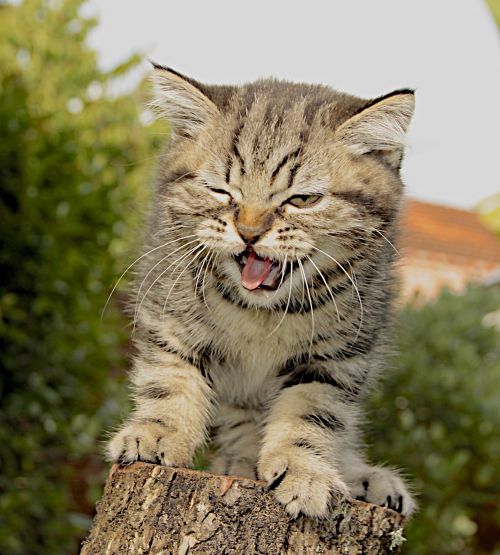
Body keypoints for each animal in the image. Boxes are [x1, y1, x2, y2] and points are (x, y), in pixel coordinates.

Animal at [107, 63, 416, 520]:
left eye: (302, 199)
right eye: (220, 190)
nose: (249, 232)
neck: (262, 312)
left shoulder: (341, 355)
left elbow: (312, 412)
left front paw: (304, 469)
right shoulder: (167, 312)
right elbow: (169, 377)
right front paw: (158, 431)